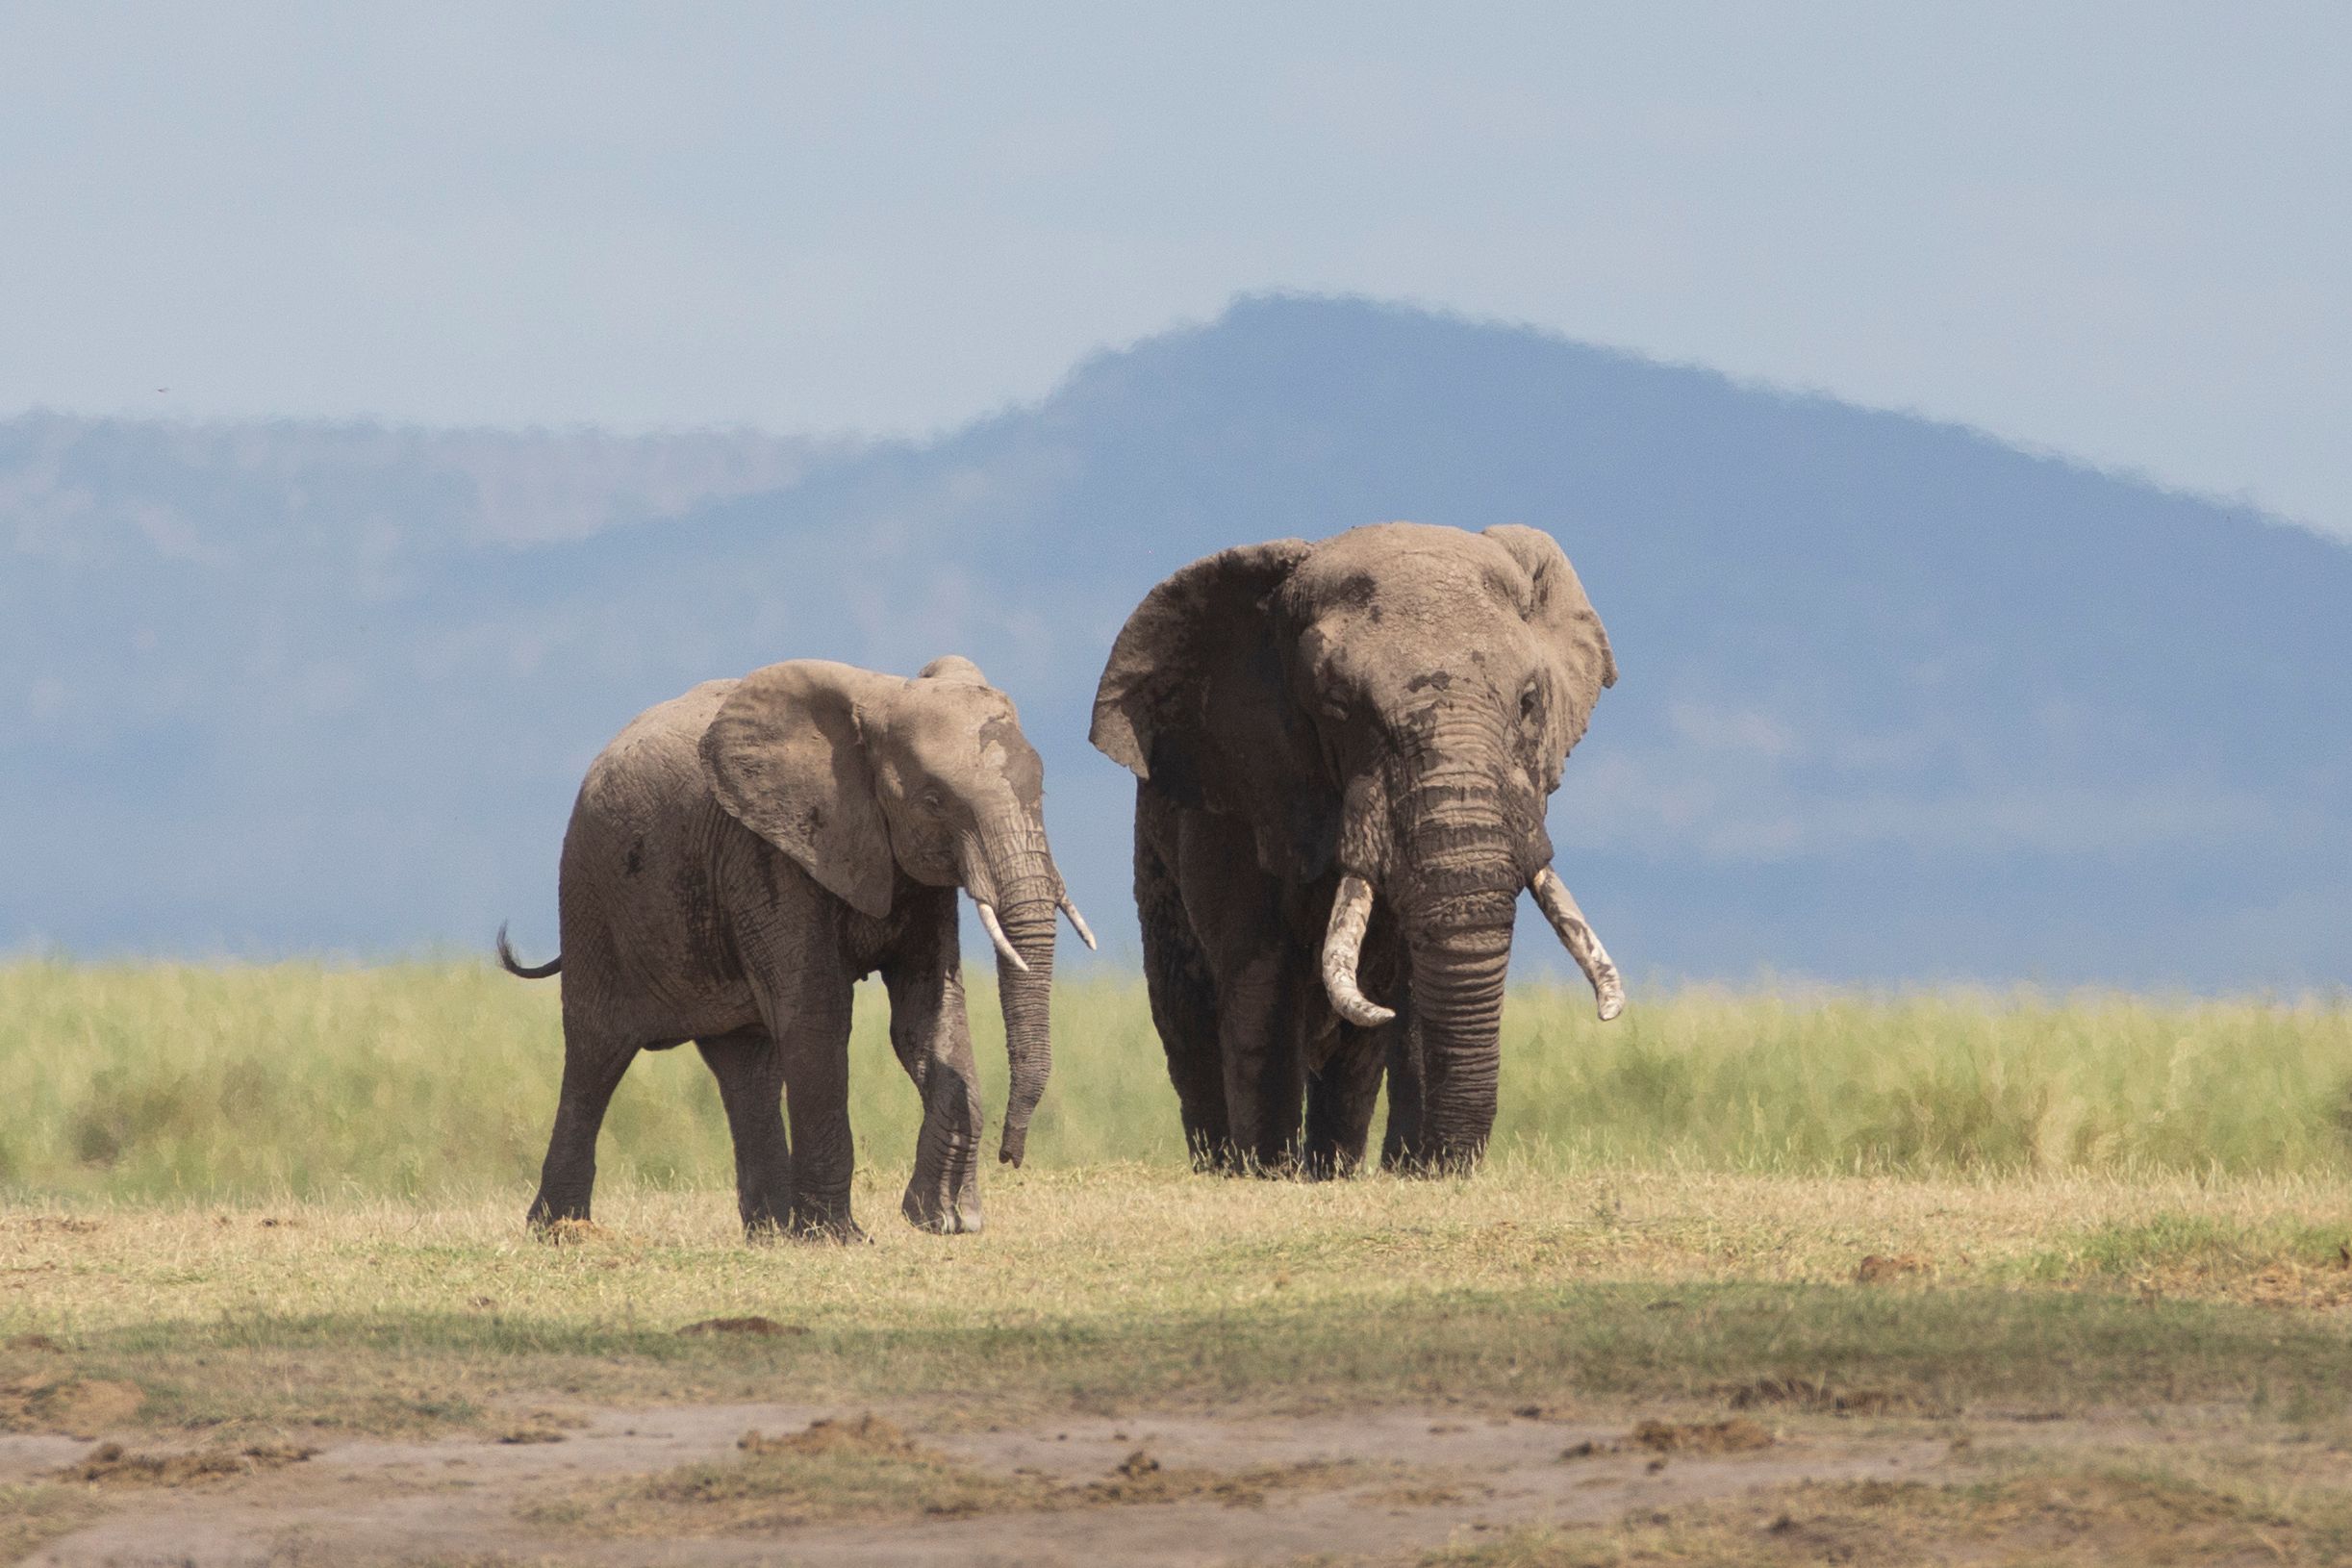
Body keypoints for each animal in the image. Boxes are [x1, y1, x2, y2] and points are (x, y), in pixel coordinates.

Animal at [498, 655, 1091, 1240]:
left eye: (1040, 794)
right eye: (933, 801)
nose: (1011, 1156)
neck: (881, 701)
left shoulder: (914, 877)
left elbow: (929, 1017)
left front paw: (947, 1221)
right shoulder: (769, 849)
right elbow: (817, 1015)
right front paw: (839, 1237)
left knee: (746, 1066)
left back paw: (769, 1233)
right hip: (591, 891)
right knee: (596, 1052)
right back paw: (560, 1231)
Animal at [1089, 521, 1623, 1177]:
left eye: (1528, 702)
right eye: (1338, 707)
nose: (1443, 1165)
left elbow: (1415, 1000)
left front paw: (1416, 1175)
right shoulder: (1241, 796)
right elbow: (1262, 980)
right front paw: (1268, 1174)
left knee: (1354, 1058)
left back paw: (1331, 1170)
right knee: (1190, 1026)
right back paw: (1229, 1166)